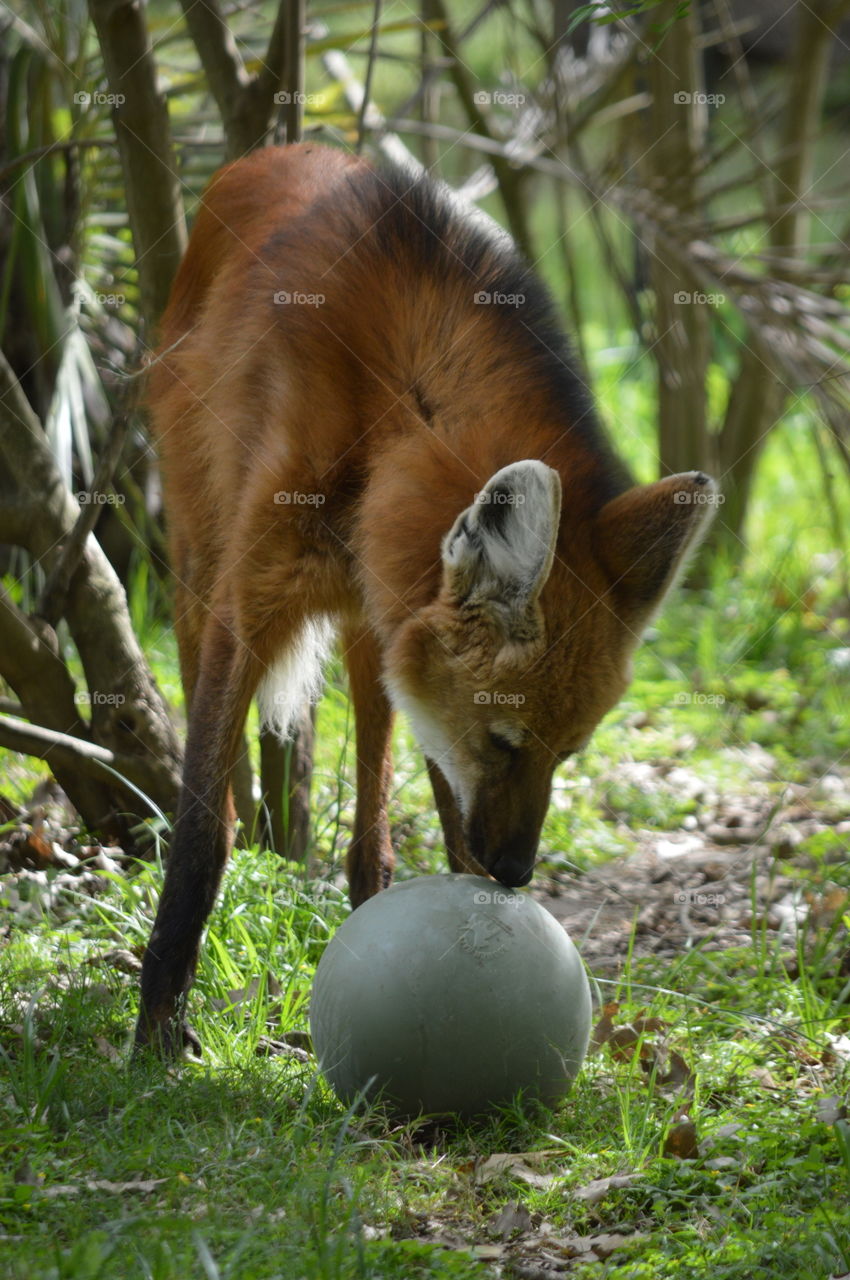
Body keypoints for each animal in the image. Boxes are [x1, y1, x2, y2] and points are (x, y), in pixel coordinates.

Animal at [136, 142, 716, 1055]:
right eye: (506, 741)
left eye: (569, 753)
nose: (517, 871)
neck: (392, 408)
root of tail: (267, 154)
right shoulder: (252, 602)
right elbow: (201, 830)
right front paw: (158, 1026)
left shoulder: (403, 621)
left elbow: (447, 809)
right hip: (200, 571)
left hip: (372, 627)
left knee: (372, 813)